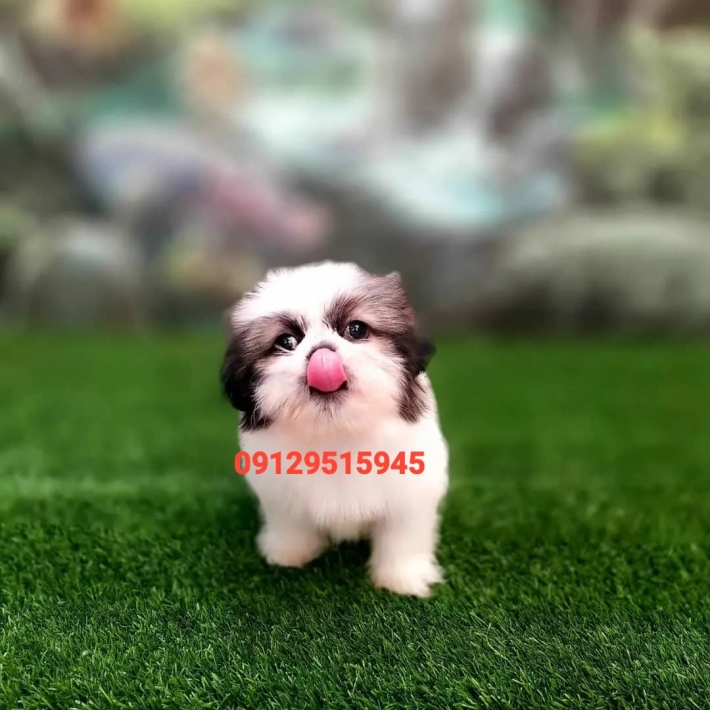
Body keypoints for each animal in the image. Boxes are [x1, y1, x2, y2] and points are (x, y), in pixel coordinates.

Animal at [221, 261, 449, 597]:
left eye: (356, 330)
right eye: (286, 342)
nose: (322, 353)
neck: (336, 430)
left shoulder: (412, 490)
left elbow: (402, 536)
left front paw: (401, 578)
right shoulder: (279, 493)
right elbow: (291, 524)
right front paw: (289, 554)